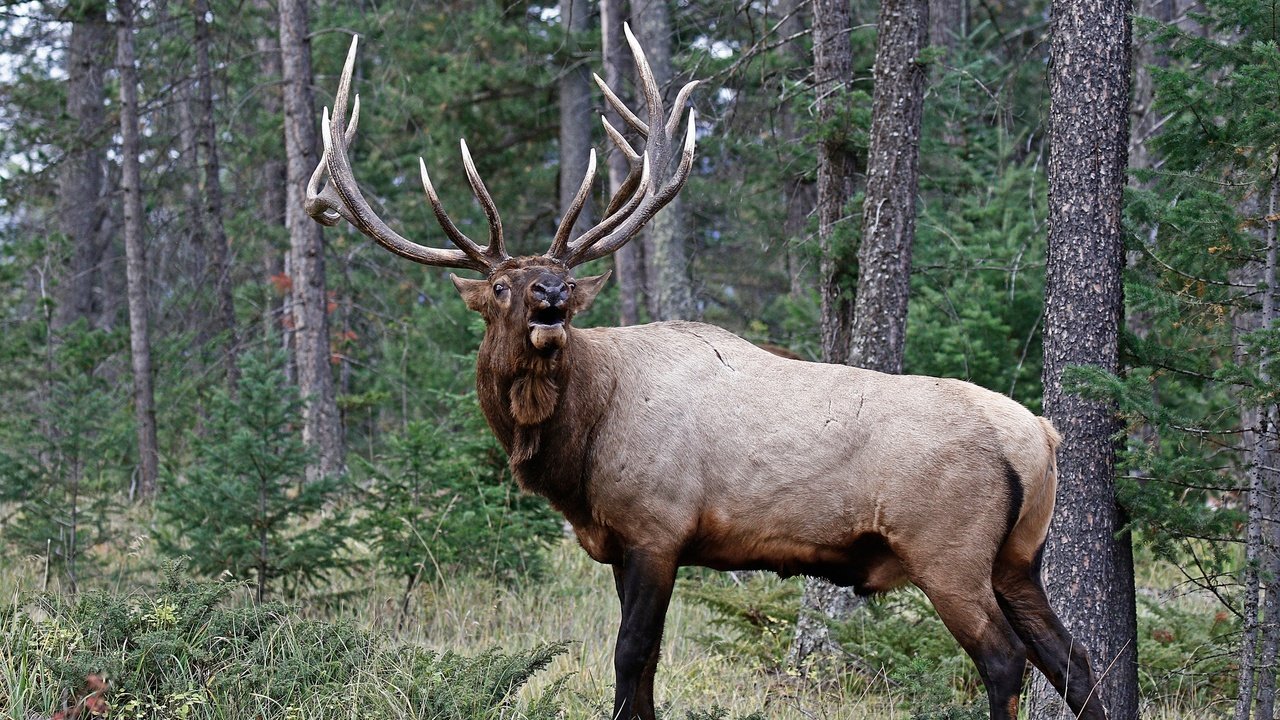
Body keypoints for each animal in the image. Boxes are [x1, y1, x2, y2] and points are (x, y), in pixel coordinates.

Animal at [304, 30, 1105, 712]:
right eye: (501, 286)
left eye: (557, 276)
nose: (551, 296)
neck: (577, 450)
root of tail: (1040, 438)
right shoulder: (628, 543)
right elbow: (645, 666)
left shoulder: (656, 528)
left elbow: (631, 659)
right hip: (1019, 557)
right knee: (1076, 659)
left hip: (948, 549)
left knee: (1005, 660)